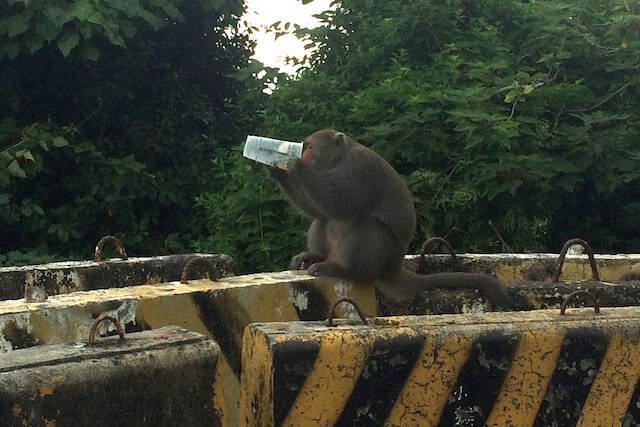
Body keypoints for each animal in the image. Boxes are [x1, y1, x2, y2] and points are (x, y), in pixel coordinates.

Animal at [264, 129, 510, 310]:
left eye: (310, 147)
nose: (303, 155)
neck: (338, 160)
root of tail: (393, 267)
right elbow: (318, 210)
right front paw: (277, 171)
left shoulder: (360, 168)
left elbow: (342, 201)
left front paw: (296, 166)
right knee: (323, 219)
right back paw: (315, 257)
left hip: (379, 256)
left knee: (366, 225)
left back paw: (340, 268)